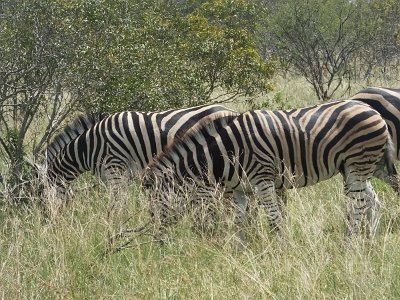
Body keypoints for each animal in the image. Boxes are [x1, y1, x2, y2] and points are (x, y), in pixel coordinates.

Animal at [36, 103, 238, 204]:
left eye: (40, 197)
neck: (90, 145)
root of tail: (231, 110)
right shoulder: (113, 175)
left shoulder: (114, 168)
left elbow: (117, 203)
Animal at [143, 101, 396, 239]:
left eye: (157, 205)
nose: (157, 242)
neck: (226, 152)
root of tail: (371, 109)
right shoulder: (240, 189)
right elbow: (240, 221)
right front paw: (240, 250)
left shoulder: (262, 179)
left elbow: (274, 218)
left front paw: (281, 248)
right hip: (364, 167)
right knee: (373, 199)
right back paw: (370, 240)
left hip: (358, 164)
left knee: (358, 205)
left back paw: (350, 243)